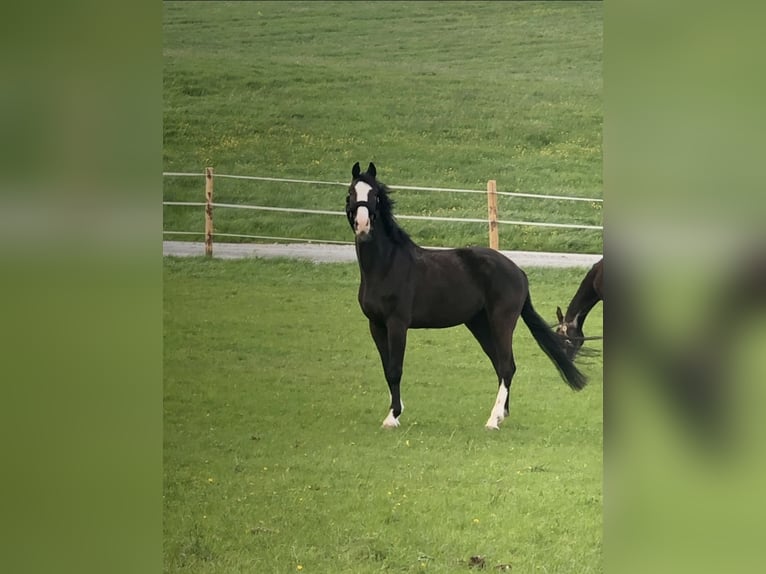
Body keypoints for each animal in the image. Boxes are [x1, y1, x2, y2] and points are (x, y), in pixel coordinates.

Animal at [348, 161, 588, 428]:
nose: (362, 226)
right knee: (499, 364)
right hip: (479, 323)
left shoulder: (397, 324)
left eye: (375, 196)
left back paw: (492, 421)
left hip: (501, 322)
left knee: (507, 366)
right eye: (350, 193)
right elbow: (386, 368)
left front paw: (393, 417)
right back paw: (501, 414)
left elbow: (395, 369)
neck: (387, 266)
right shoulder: (376, 325)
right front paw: (393, 411)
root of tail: (518, 271)